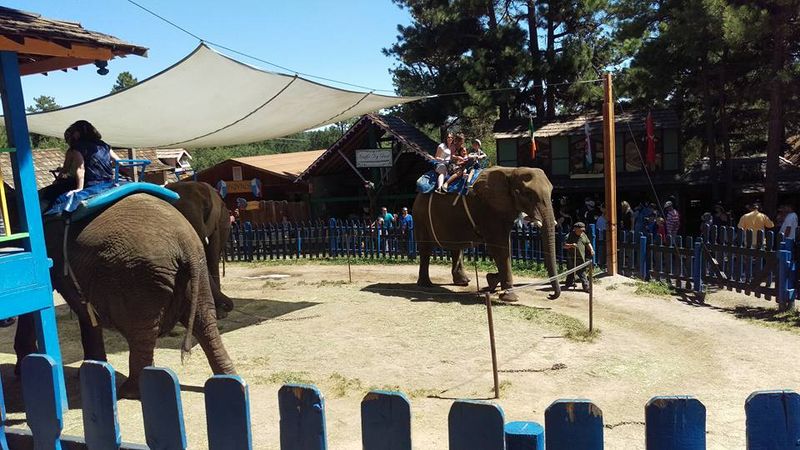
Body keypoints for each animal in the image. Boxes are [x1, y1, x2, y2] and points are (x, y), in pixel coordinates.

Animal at [413, 166, 561, 302]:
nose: (550, 295)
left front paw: (492, 281)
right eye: (527, 193)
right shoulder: (488, 209)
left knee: (457, 247)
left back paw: (463, 282)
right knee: (426, 248)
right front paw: (510, 297)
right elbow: (499, 247)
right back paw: (426, 284)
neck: (511, 172)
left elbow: (506, 246)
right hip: (420, 217)